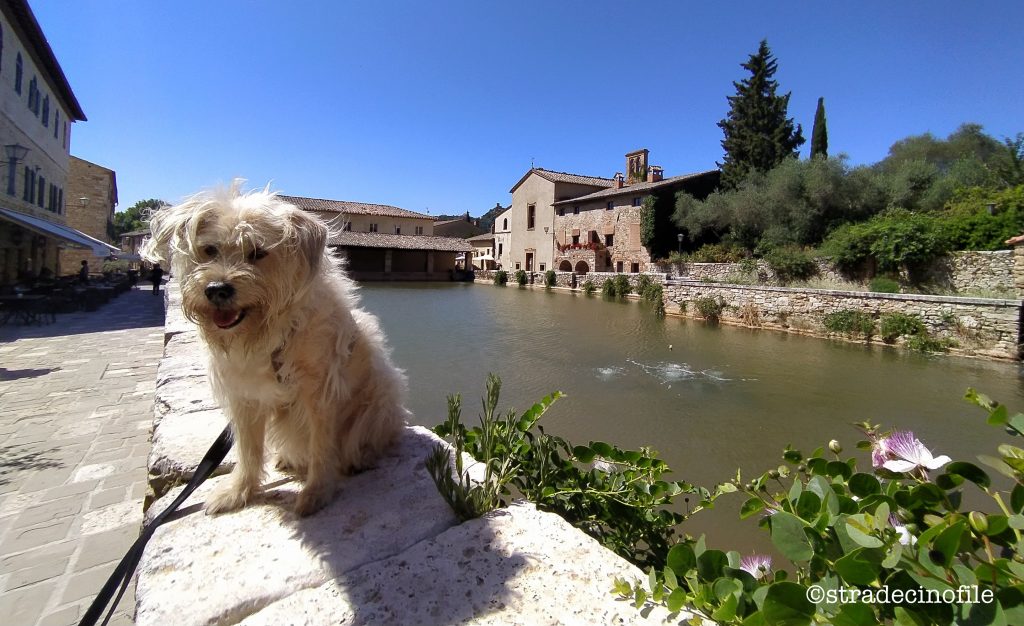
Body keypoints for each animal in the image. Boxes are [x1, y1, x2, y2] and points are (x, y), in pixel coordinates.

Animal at [141, 180, 411, 514]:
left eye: (257, 252)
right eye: (210, 250)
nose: (217, 289)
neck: (270, 334)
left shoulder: (320, 392)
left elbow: (321, 445)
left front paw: (317, 492)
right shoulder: (245, 395)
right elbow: (248, 450)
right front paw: (239, 491)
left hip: (381, 401)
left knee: (362, 440)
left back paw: (360, 458)